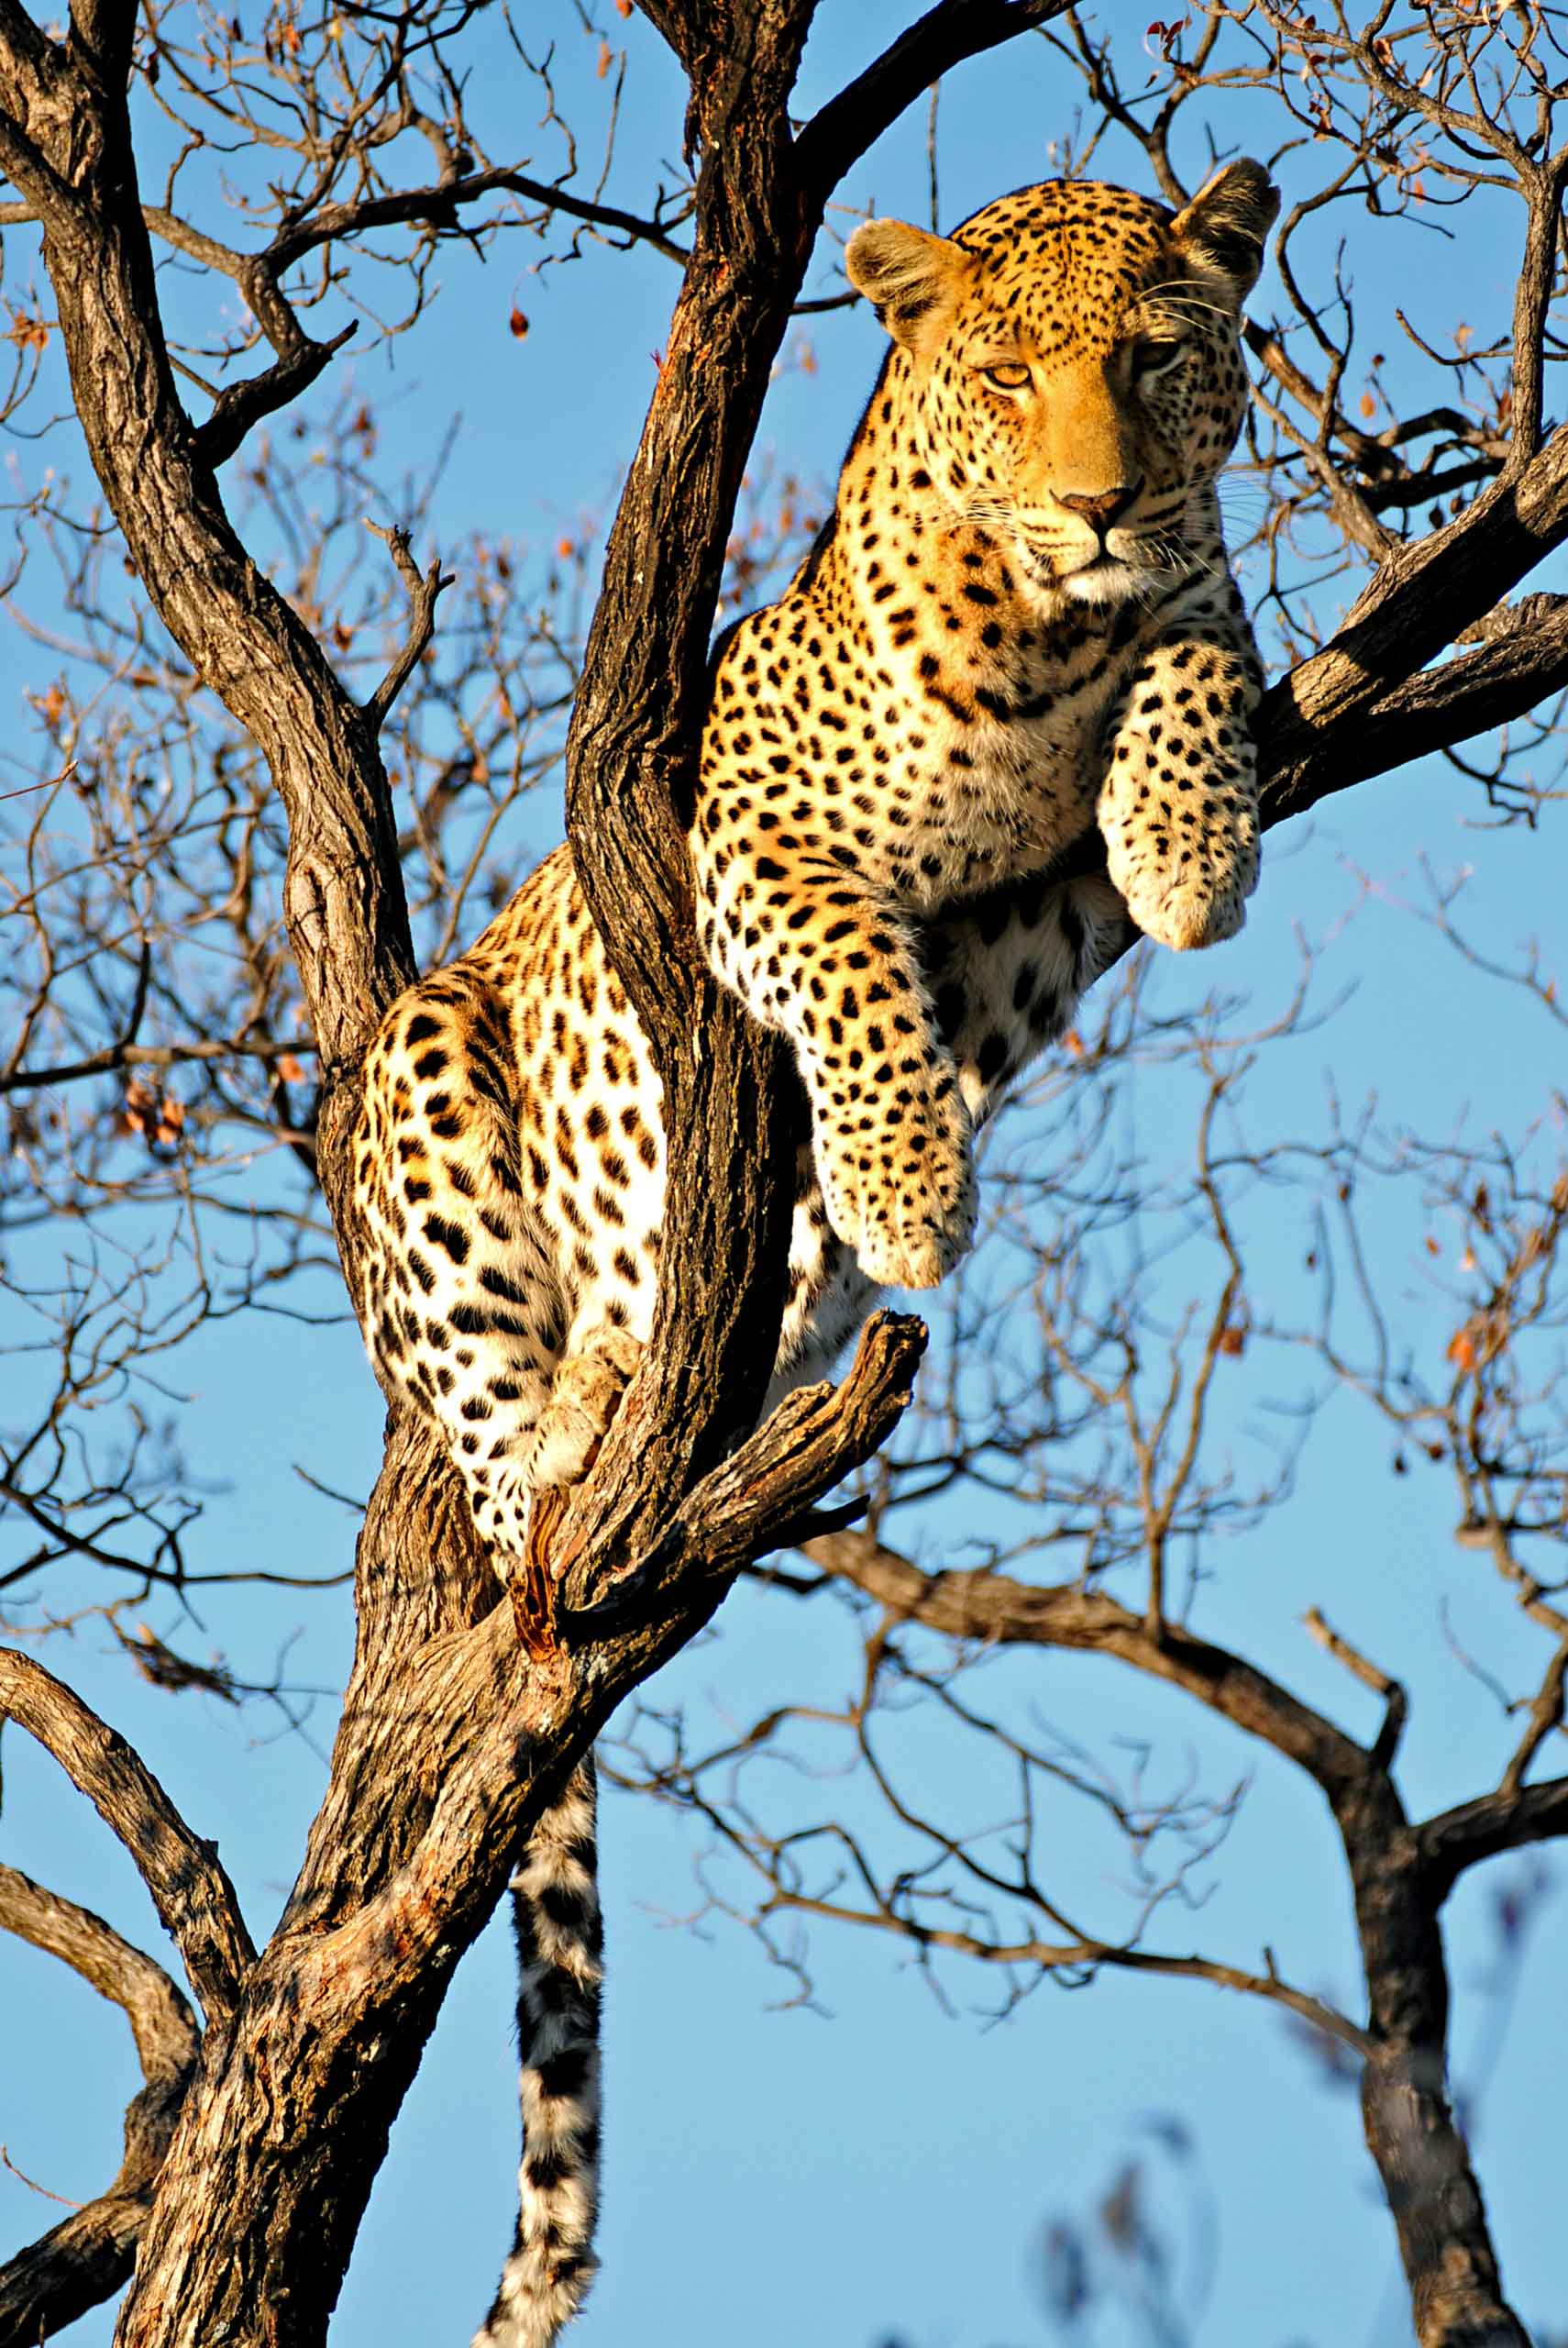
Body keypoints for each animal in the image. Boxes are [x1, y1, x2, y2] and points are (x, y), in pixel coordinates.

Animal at [345, 161, 1278, 2348]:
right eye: (1010, 374)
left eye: (1158, 359)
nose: (1096, 503)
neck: (1038, 634)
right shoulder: (737, 840)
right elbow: (851, 965)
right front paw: (912, 1183)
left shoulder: (1088, 816)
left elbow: (1200, 656)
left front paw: (1191, 847)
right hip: (421, 1068)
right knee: (505, 1463)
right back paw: (589, 1422)